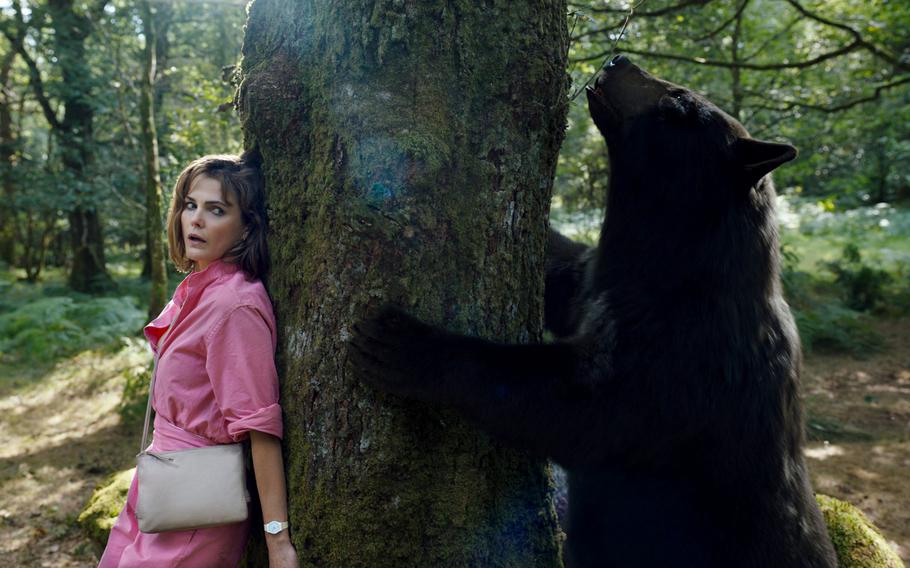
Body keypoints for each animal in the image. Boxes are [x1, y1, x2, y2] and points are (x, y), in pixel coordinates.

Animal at [350, 54, 840, 568]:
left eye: (679, 103)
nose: (620, 58)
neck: (671, 268)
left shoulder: (684, 361)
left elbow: (575, 406)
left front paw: (405, 346)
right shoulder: (594, 282)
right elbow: (561, 272)